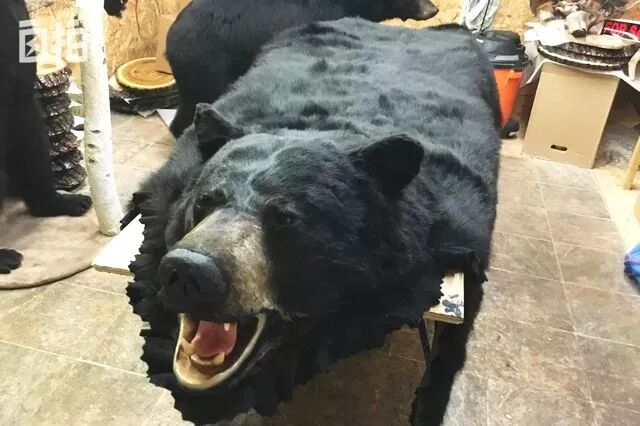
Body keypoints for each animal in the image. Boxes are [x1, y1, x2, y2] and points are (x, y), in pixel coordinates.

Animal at [127, 18, 500, 425]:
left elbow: (460, 326)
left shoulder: (458, 220)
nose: (189, 271)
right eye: (204, 201)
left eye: (285, 220)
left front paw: (428, 404)